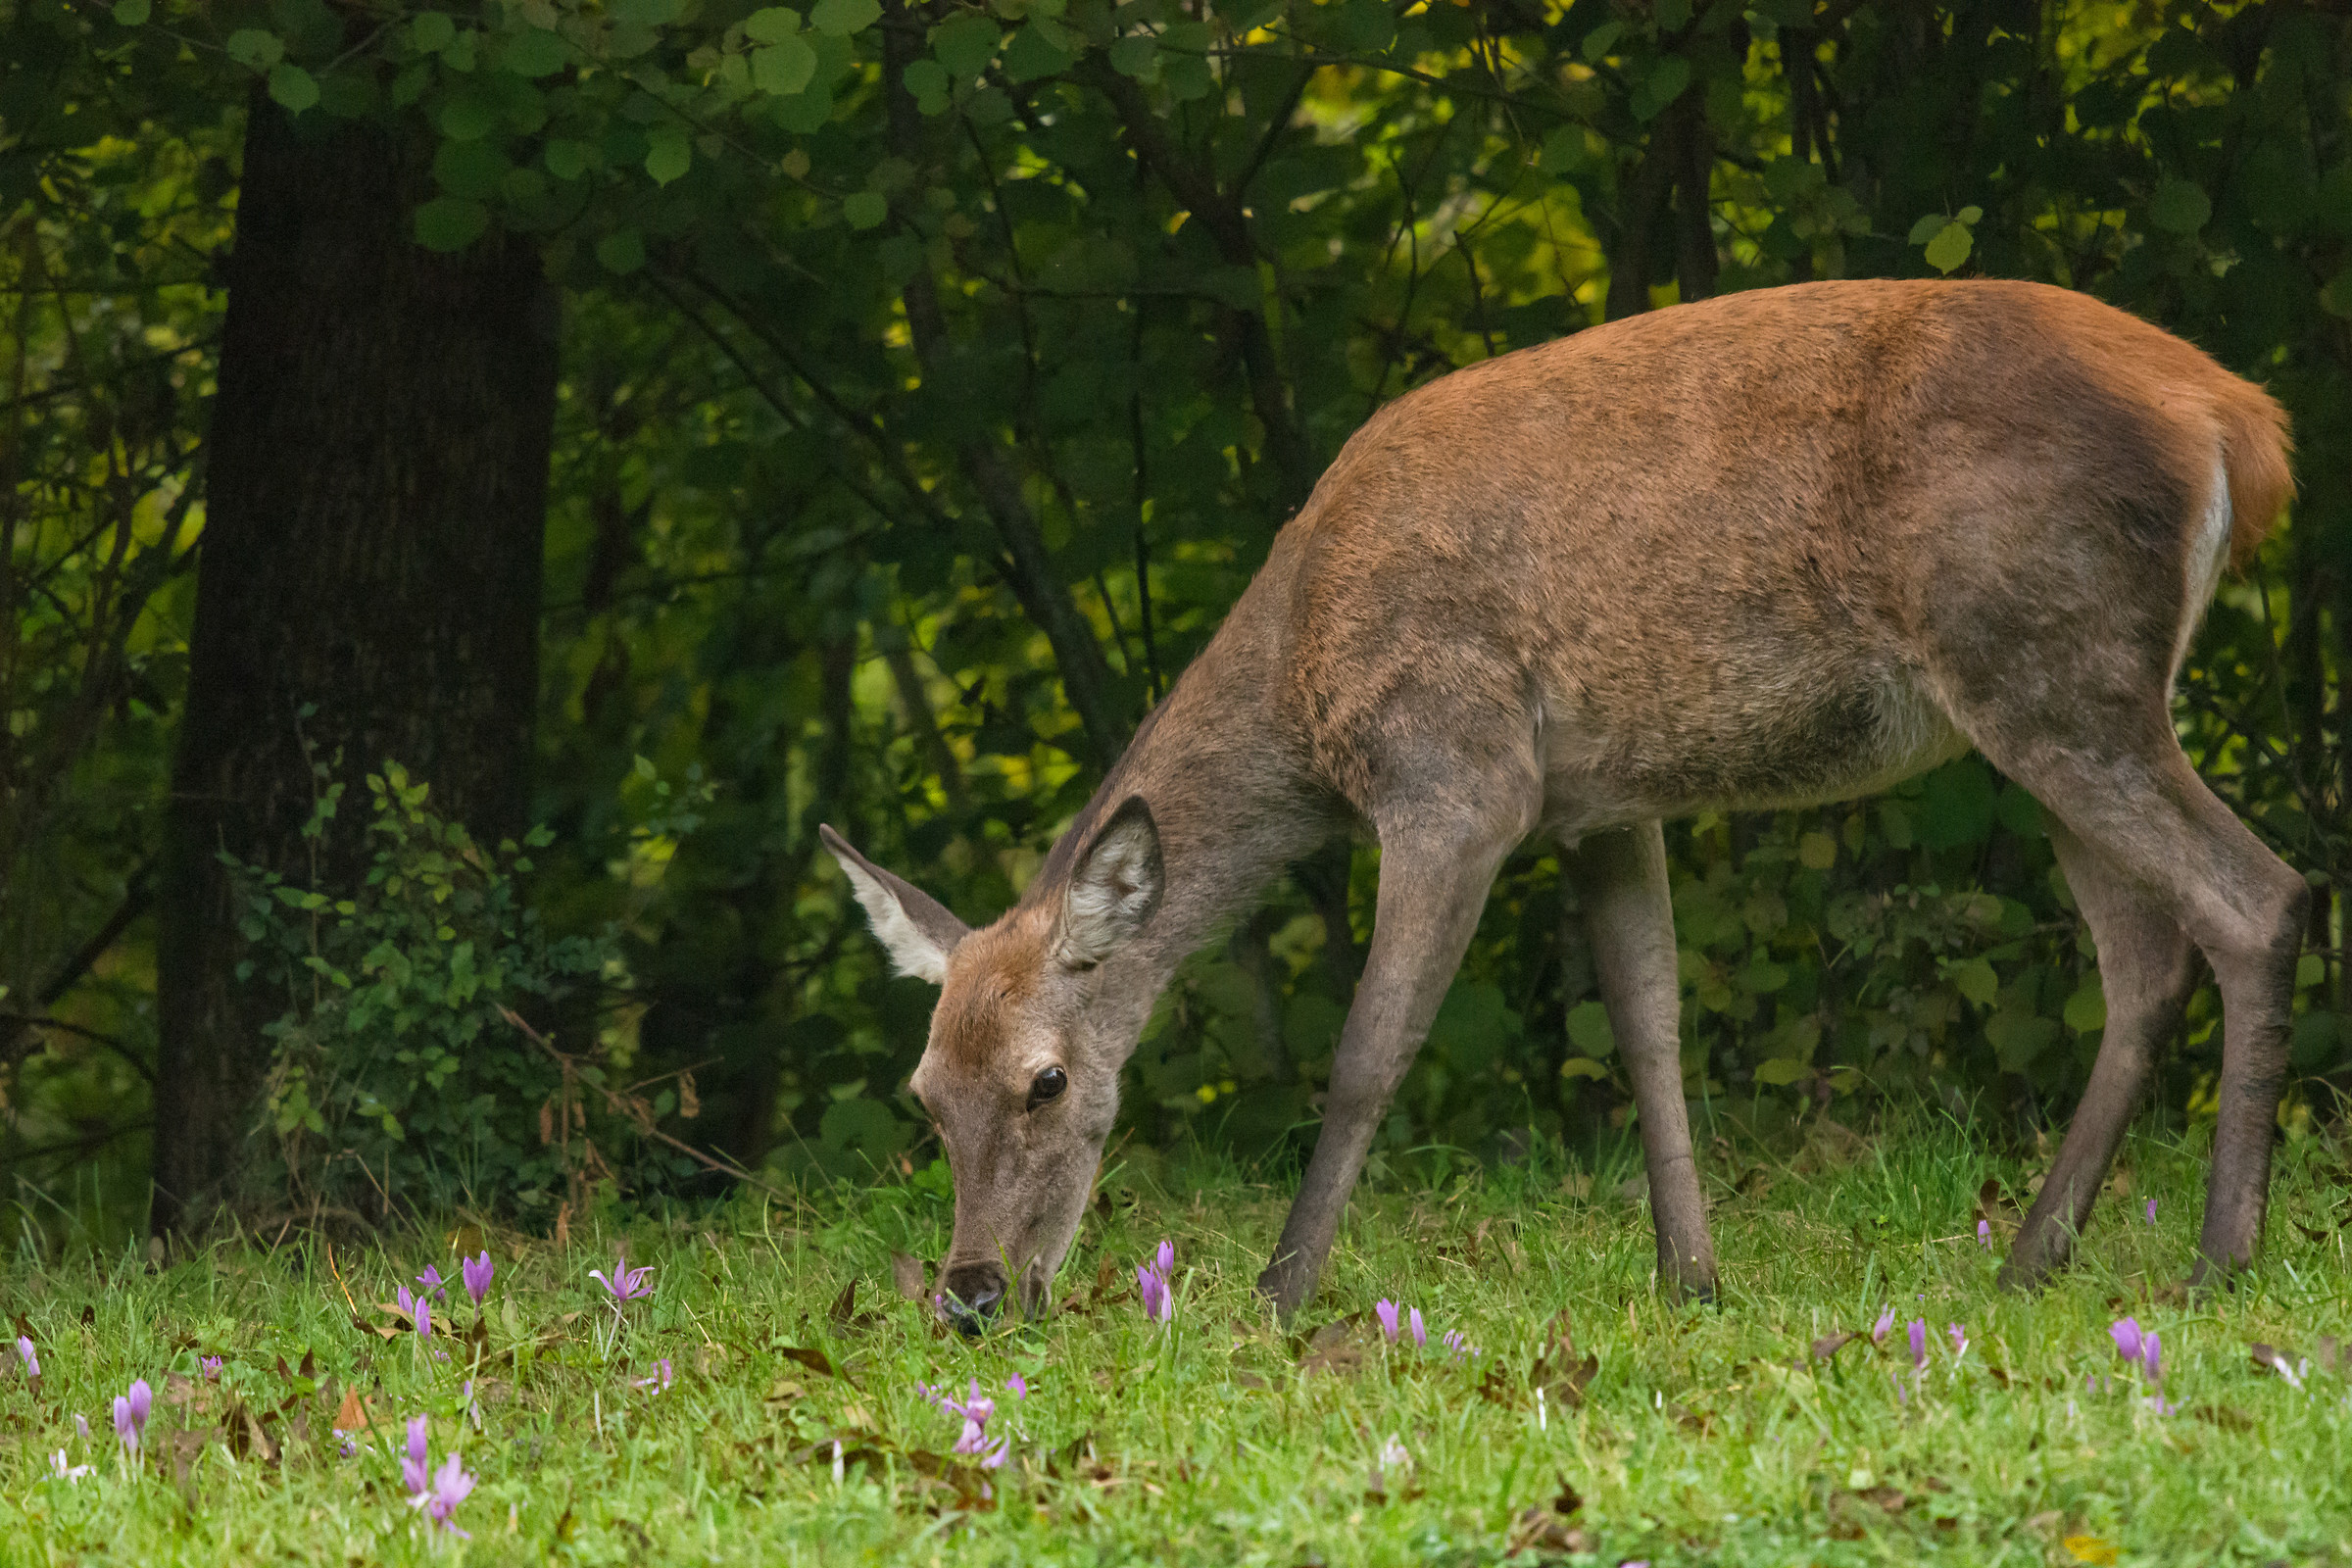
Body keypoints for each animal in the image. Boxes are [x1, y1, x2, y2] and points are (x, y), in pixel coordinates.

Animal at [820, 278, 2299, 1332]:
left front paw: (1278, 1298)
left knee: (2258, 897)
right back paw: (2031, 1264)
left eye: (1049, 1081)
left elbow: (1371, 1050)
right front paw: (1691, 1278)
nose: (971, 1296)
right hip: (2044, 704)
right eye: (923, 1093)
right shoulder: (1602, 806)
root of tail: (2241, 425)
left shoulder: (1458, 775)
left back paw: (2217, 1264)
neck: (1302, 679)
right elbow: (1650, 1029)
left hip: (2052, 664)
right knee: (2143, 961)